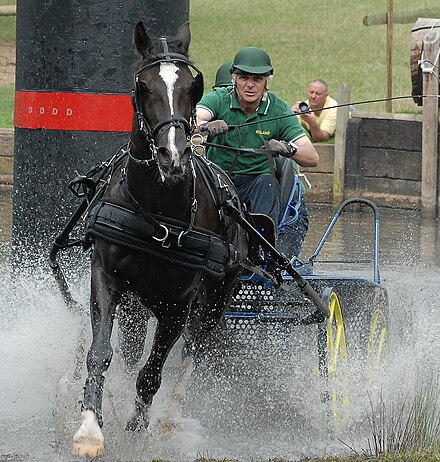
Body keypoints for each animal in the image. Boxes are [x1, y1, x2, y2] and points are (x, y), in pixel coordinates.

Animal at [74, 20, 249, 454]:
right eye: (144, 86)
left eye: (192, 86)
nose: (173, 155)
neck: (156, 209)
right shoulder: (106, 277)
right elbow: (100, 352)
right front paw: (90, 427)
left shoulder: (178, 304)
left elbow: (153, 371)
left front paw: (139, 426)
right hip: (139, 304)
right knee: (134, 348)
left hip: (214, 302)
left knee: (192, 353)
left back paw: (169, 417)